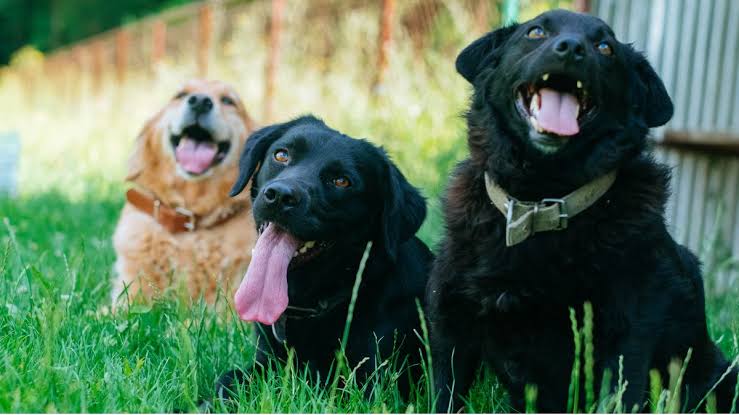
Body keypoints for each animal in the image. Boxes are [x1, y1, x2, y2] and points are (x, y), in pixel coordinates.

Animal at [217, 117, 430, 404]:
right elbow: (226, 381)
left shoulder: (372, 386)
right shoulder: (266, 364)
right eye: (281, 155)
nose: (280, 195)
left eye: (341, 181)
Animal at [430, 8, 736, 412]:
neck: (540, 200)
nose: (571, 48)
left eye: (605, 47)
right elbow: (446, 392)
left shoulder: (626, 334)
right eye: (536, 32)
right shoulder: (453, 320)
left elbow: (616, 393)